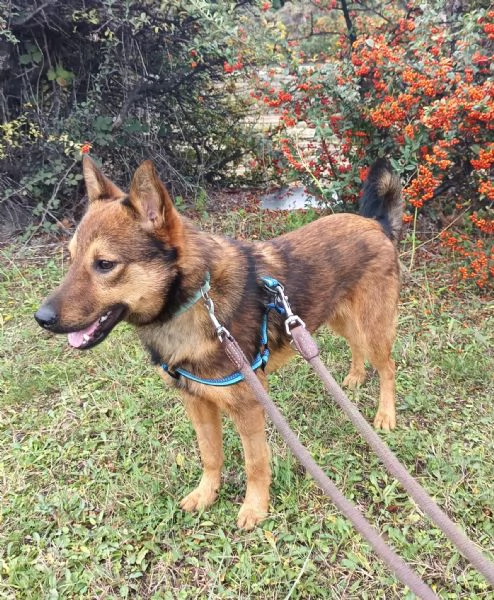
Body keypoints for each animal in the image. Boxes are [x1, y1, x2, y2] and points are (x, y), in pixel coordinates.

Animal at [36, 156, 404, 528]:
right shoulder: (196, 403)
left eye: (105, 264)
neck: (194, 302)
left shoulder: (249, 408)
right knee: (357, 346)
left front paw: (255, 507)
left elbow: (255, 463)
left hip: (372, 326)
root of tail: (374, 224)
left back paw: (385, 414)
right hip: (338, 319)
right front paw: (207, 493)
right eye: (71, 258)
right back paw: (356, 376)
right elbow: (210, 455)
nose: (42, 318)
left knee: (388, 366)